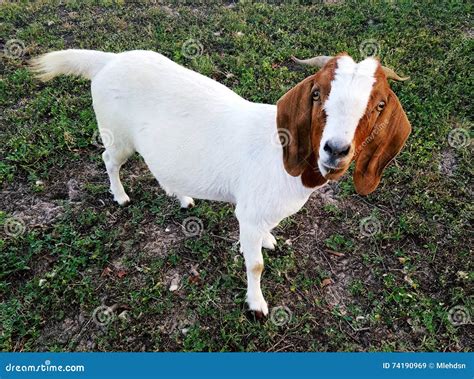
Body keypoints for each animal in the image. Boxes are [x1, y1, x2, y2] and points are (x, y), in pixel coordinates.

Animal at [30, 50, 412, 318]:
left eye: (380, 104)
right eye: (317, 94)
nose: (335, 150)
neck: (281, 158)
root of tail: (107, 61)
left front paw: (269, 240)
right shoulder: (249, 212)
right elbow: (255, 264)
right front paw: (256, 306)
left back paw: (183, 196)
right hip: (117, 134)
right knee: (109, 160)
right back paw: (121, 197)